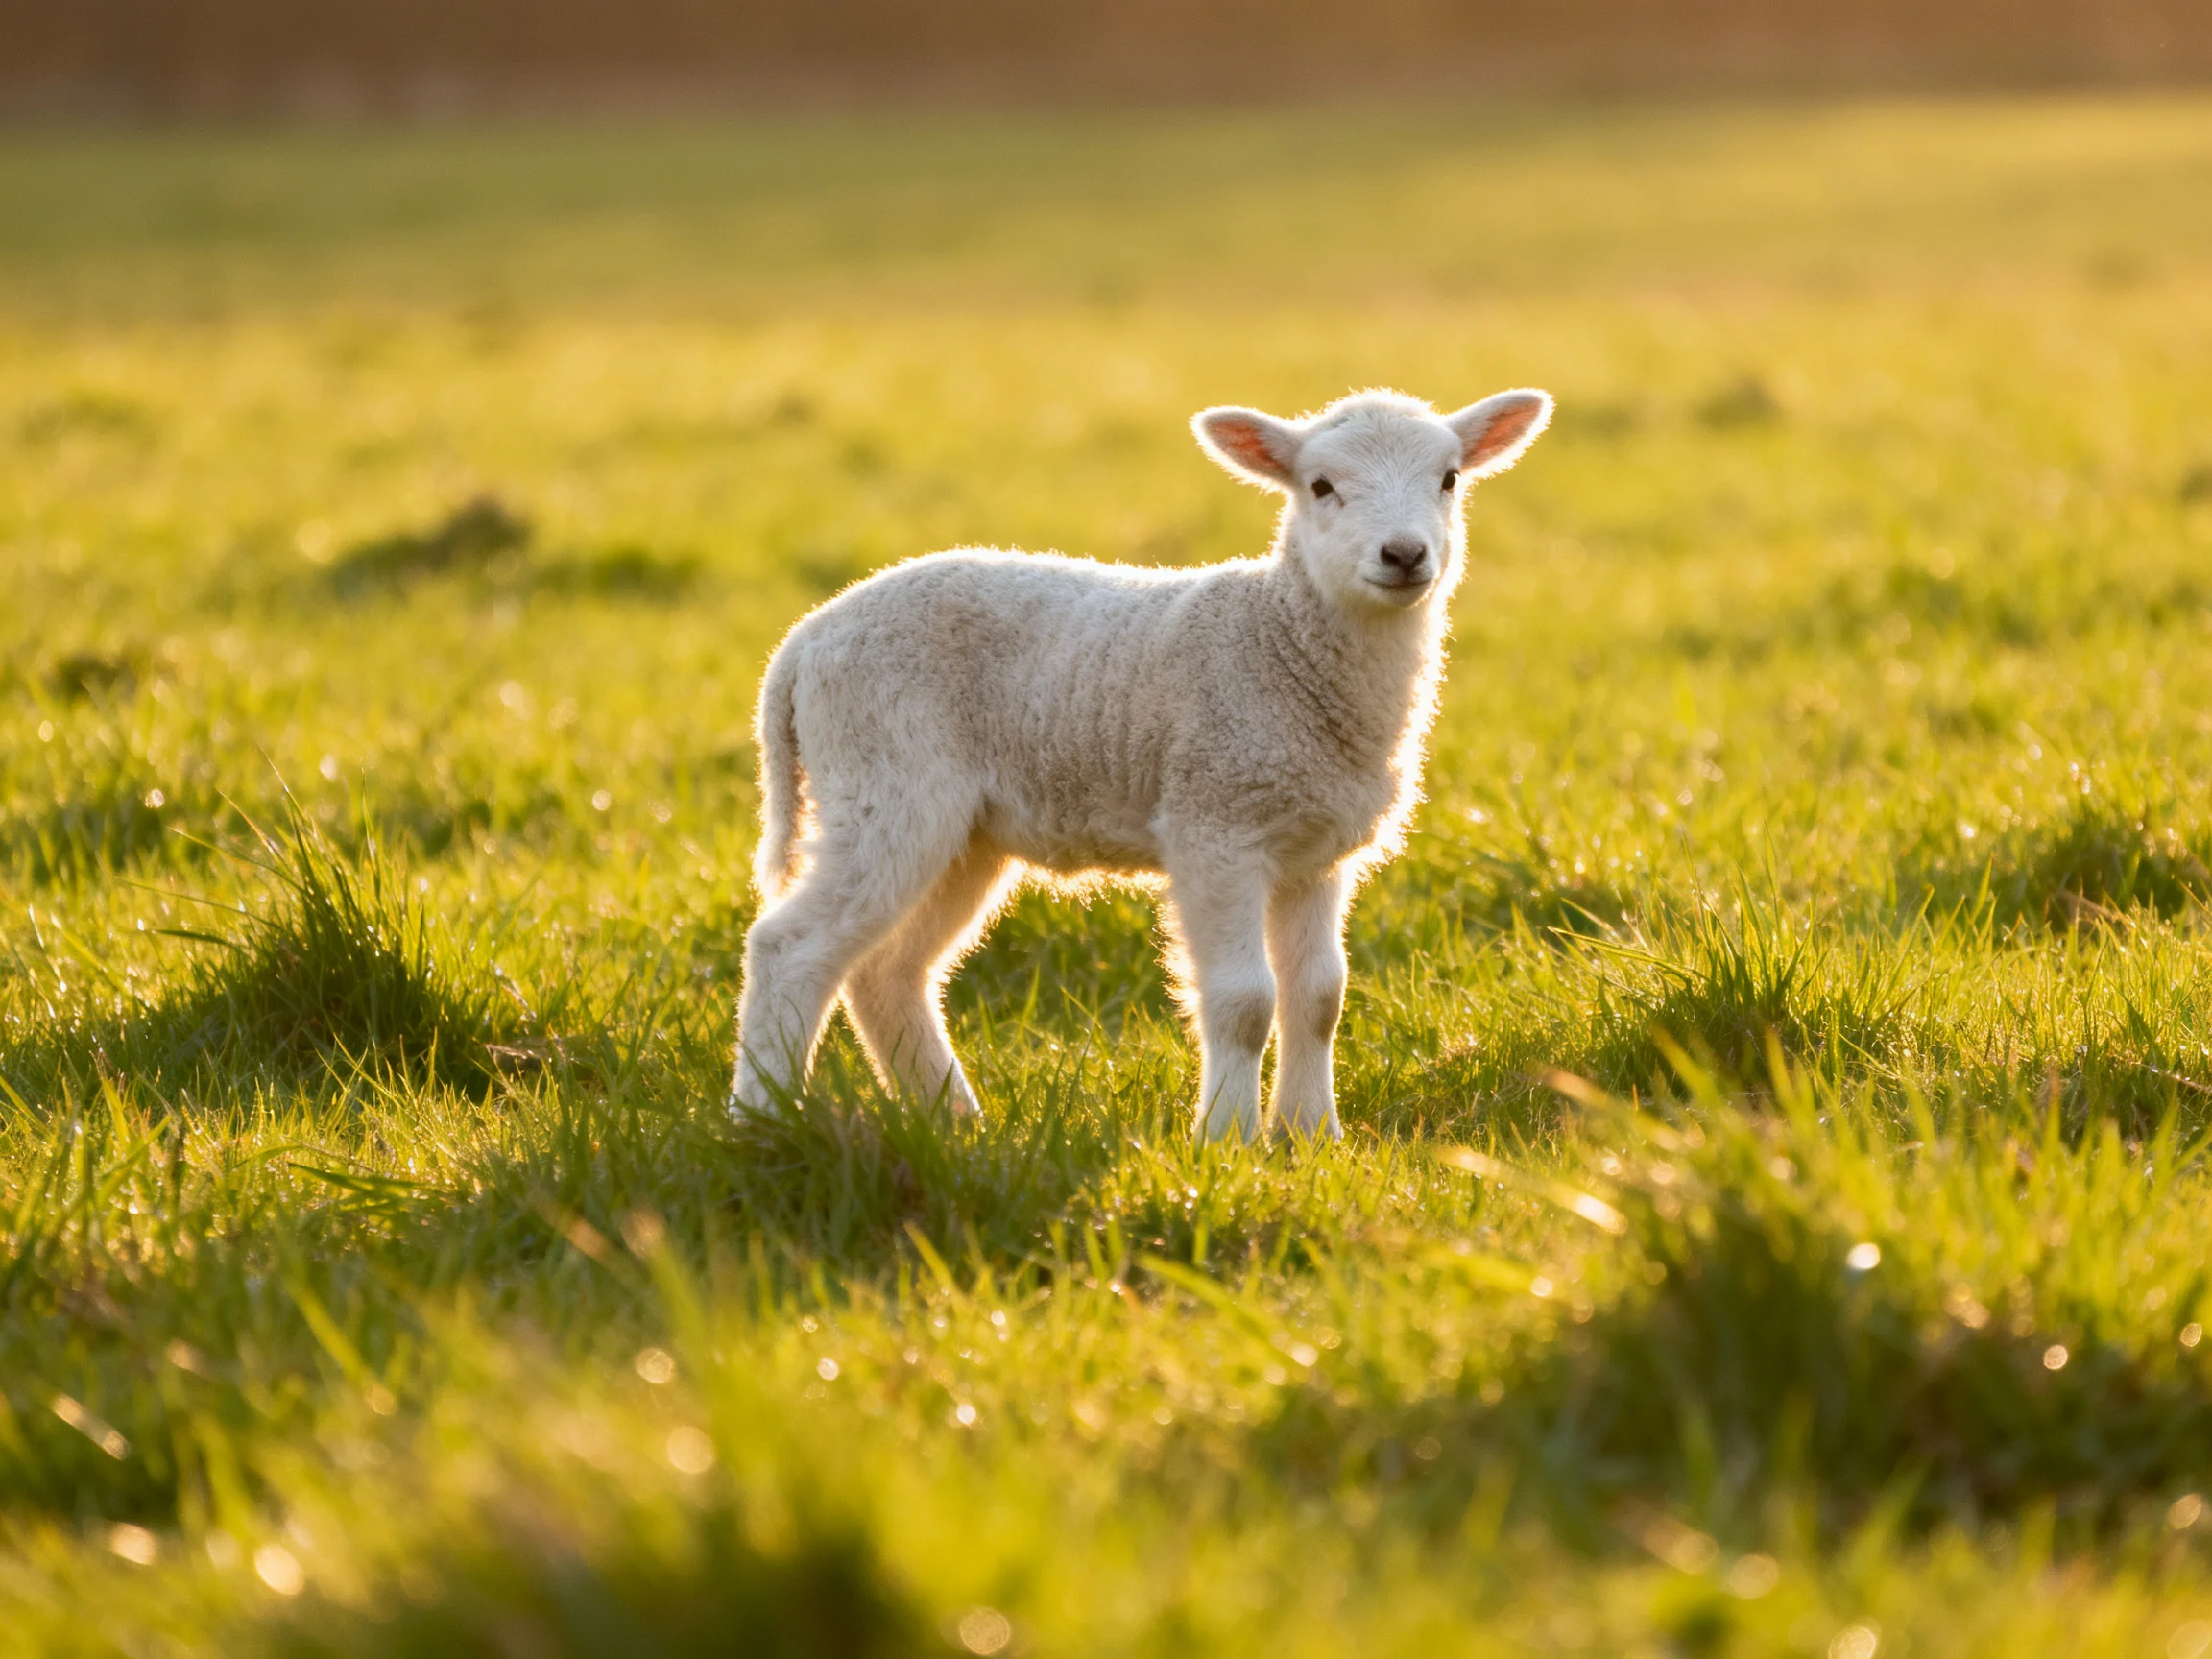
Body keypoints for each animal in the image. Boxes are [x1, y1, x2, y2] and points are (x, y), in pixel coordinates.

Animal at [730, 386, 1553, 1141]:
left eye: (1449, 478)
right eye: (1320, 486)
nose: (1404, 555)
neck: (1281, 643)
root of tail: (803, 642)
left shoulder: (1316, 852)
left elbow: (1320, 997)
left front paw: (1312, 1137)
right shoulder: (1215, 826)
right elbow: (1245, 1002)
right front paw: (1227, 1142)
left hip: (963, 833)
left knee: (886, 973)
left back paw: (956, 1123)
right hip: (883, 779)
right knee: (789, 948)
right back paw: (759, 1124)